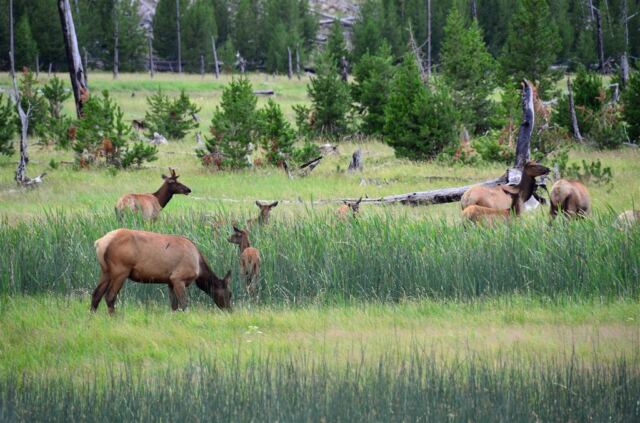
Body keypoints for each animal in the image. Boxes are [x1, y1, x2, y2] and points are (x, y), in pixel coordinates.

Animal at [91, 229, 232, 313]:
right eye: (230, 294)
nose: (229, 310)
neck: (199, 266)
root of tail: (100, 243)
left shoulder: (170, 281)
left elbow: (174, 306)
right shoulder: (179, 278)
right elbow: (184, 304)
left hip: (105, 271)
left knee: (96, 294)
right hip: (120, 270)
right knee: (110, 296)